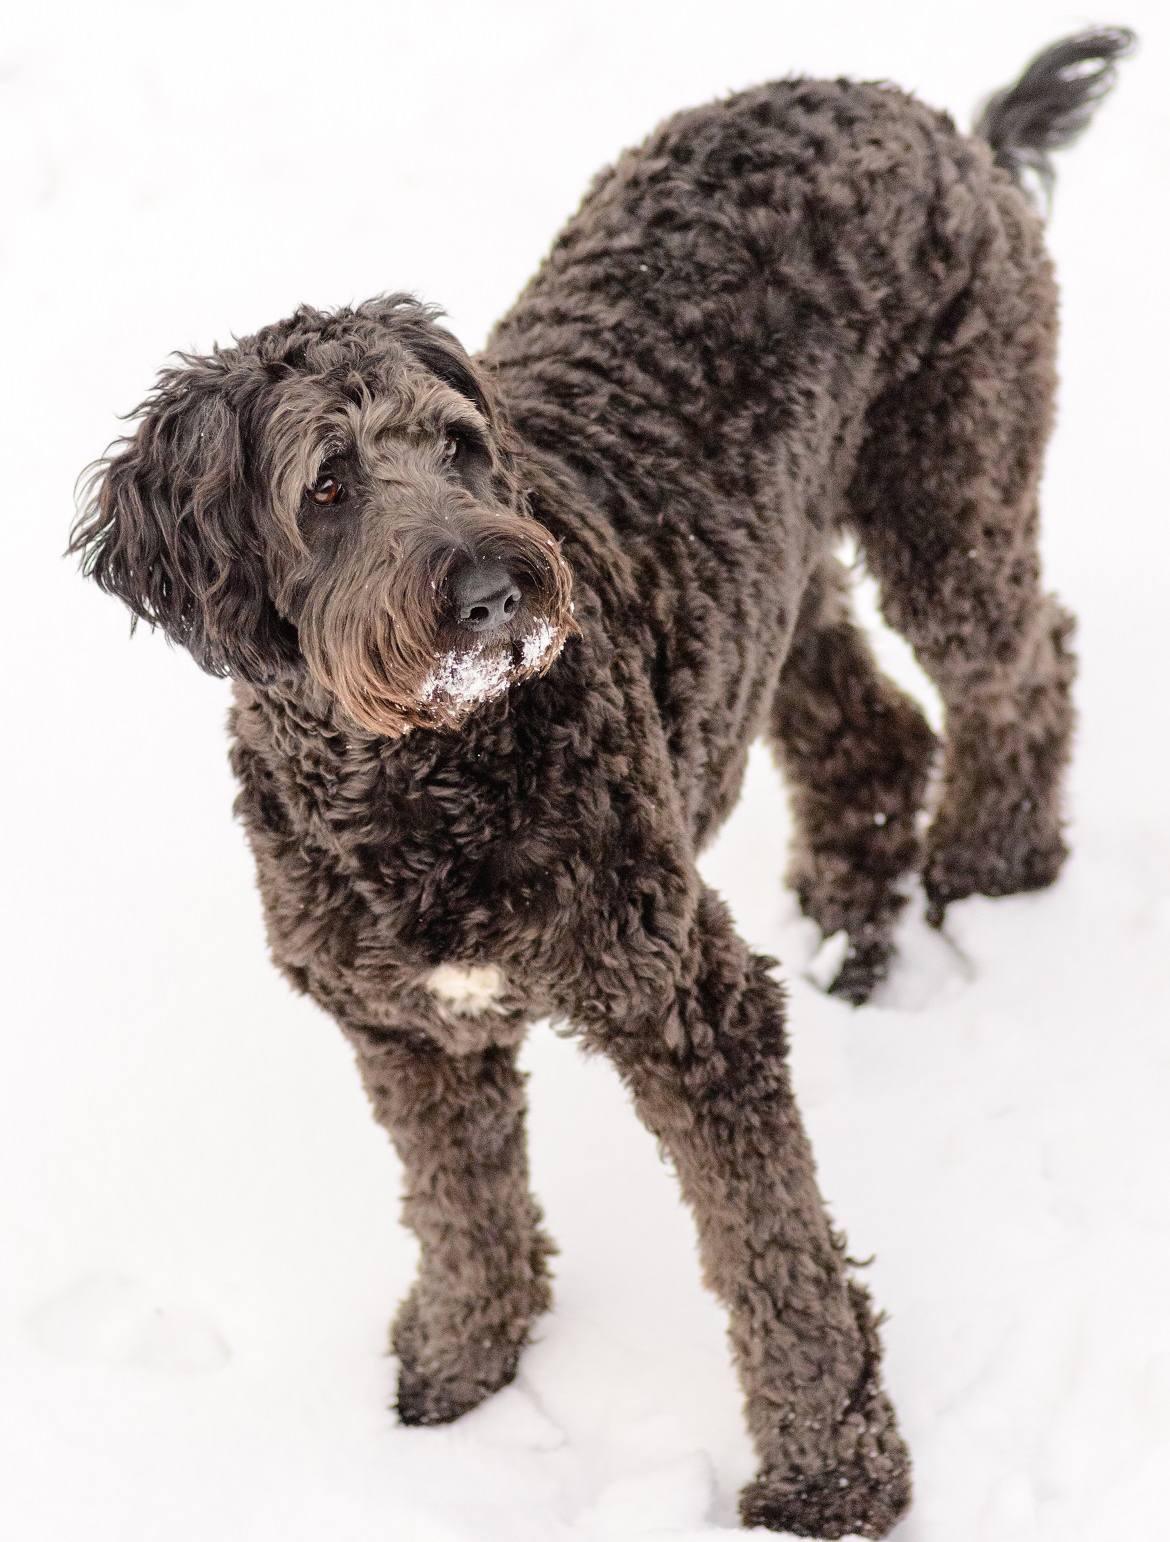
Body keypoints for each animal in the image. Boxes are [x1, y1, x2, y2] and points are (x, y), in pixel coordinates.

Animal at [68, 30, 1128, 1535]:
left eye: (461, 443)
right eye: (327, 485)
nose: (498, 585)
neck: (421, 781)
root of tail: (939, 123)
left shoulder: (688, 1004)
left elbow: (773, 1263)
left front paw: (832, 1472)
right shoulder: (407, 1031)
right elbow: (460, 1212)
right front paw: (462, 1367)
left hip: (949, 489)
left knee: (1025, 663)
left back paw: (994, 862)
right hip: (771, 585)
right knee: (869, 729)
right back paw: (850, 920)